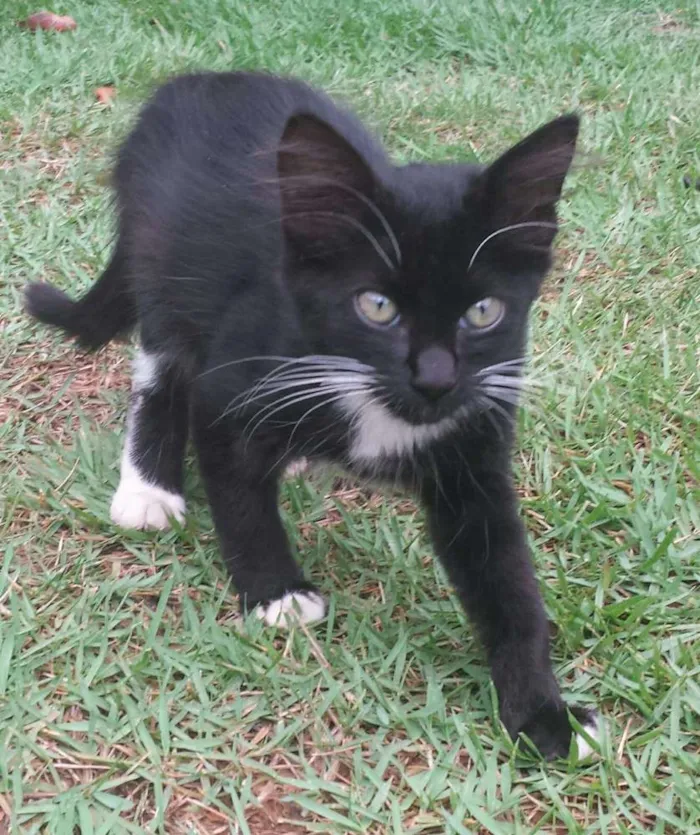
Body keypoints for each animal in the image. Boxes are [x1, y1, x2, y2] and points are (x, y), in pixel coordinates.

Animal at [24, 72, 600, 760]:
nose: (435, 379)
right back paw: (149, 487)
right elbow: (237, 492)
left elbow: (506, 576)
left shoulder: (476, 438)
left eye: (483, 313)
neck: (373, 398)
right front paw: (277, 592)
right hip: (163, 259)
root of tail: (202, 79)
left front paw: (544, 711)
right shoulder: (236, 376)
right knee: (162, 370)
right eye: (377, 306)